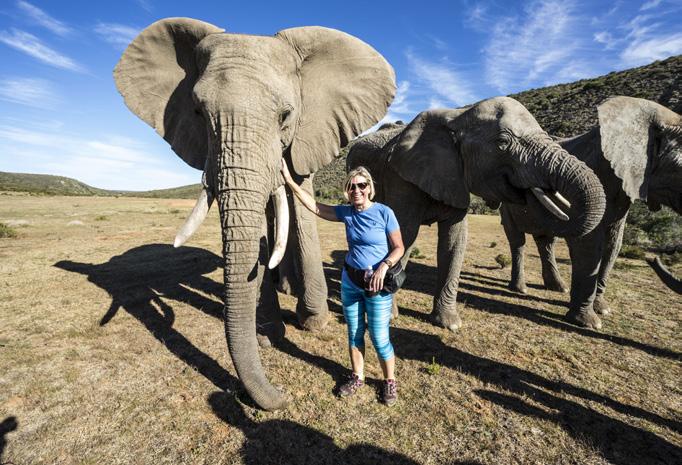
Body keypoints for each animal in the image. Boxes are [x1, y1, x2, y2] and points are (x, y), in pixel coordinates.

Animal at [115, 18, 396, 410]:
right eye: (199, 113)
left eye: (285, 116)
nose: (281, 397)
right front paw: (269, 334)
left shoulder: (312, 129)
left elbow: (299, 195)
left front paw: (313, 323)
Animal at [348, 97, 604, 330]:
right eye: (503, 142)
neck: (458, 116)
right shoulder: (401, 178)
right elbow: (404, 234)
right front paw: (389, 317)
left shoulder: (456, 178)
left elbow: (454, 241)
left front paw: (449, 324)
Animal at [500, 96, 680, 328]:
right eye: (679, 169)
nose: (653, 259)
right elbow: (588, 243)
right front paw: (589, 322)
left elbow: (613, 244)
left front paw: (602, 309)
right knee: (518, 241)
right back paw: (520, 289)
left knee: (546, 241)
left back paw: (558, 287)